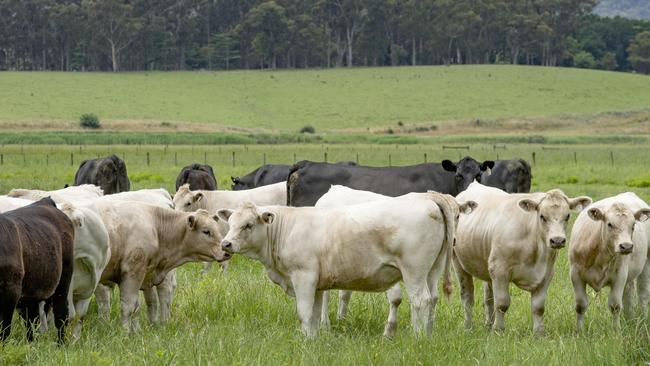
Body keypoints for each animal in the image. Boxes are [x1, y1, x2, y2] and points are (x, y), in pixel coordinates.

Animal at [0, 197, 74, 344]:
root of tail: (46, 201)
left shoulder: (11, 290)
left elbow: (4, 328)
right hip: (32, 288)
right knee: (31, 318)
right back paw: (30, 343)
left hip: (65, 276)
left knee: (61, 312)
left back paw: (61, 344)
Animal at [215, 192, 474, 338]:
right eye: (231, 221)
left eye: (248, 225)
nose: (226, 243)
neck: (286, 228)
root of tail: (427, 198)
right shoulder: (317, 285)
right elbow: (314, 314)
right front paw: (312, 340)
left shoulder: (303, 277)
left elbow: (304, 313)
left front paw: (304, 339)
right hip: (433, 270)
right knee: (432, 299)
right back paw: (428, 336)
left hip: (414, 271)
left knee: (420, 301)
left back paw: (417, 337)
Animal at [454, 182, 588, 336]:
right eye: (542, 216)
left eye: (567, 216)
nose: (558, 240)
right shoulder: (500, 270)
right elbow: (502, 303)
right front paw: (498, 330)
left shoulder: (546, 274)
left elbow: (538, 307)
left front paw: (538, 333)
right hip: (458, 263)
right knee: (467, 298)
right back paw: (468, 326)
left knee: (488, 298)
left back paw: (488, 324)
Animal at [568, 193, 648, 330]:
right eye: (609, 224)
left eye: (633, 225)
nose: (626, 246)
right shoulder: (575, 274)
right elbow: (580, 305)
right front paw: (580, 330)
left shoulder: (620, 275)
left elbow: (615, 306)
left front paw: (616, 330)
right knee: (628, 294)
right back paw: (630, 318)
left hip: (647, 263)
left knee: (643, 296)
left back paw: (642, 320)